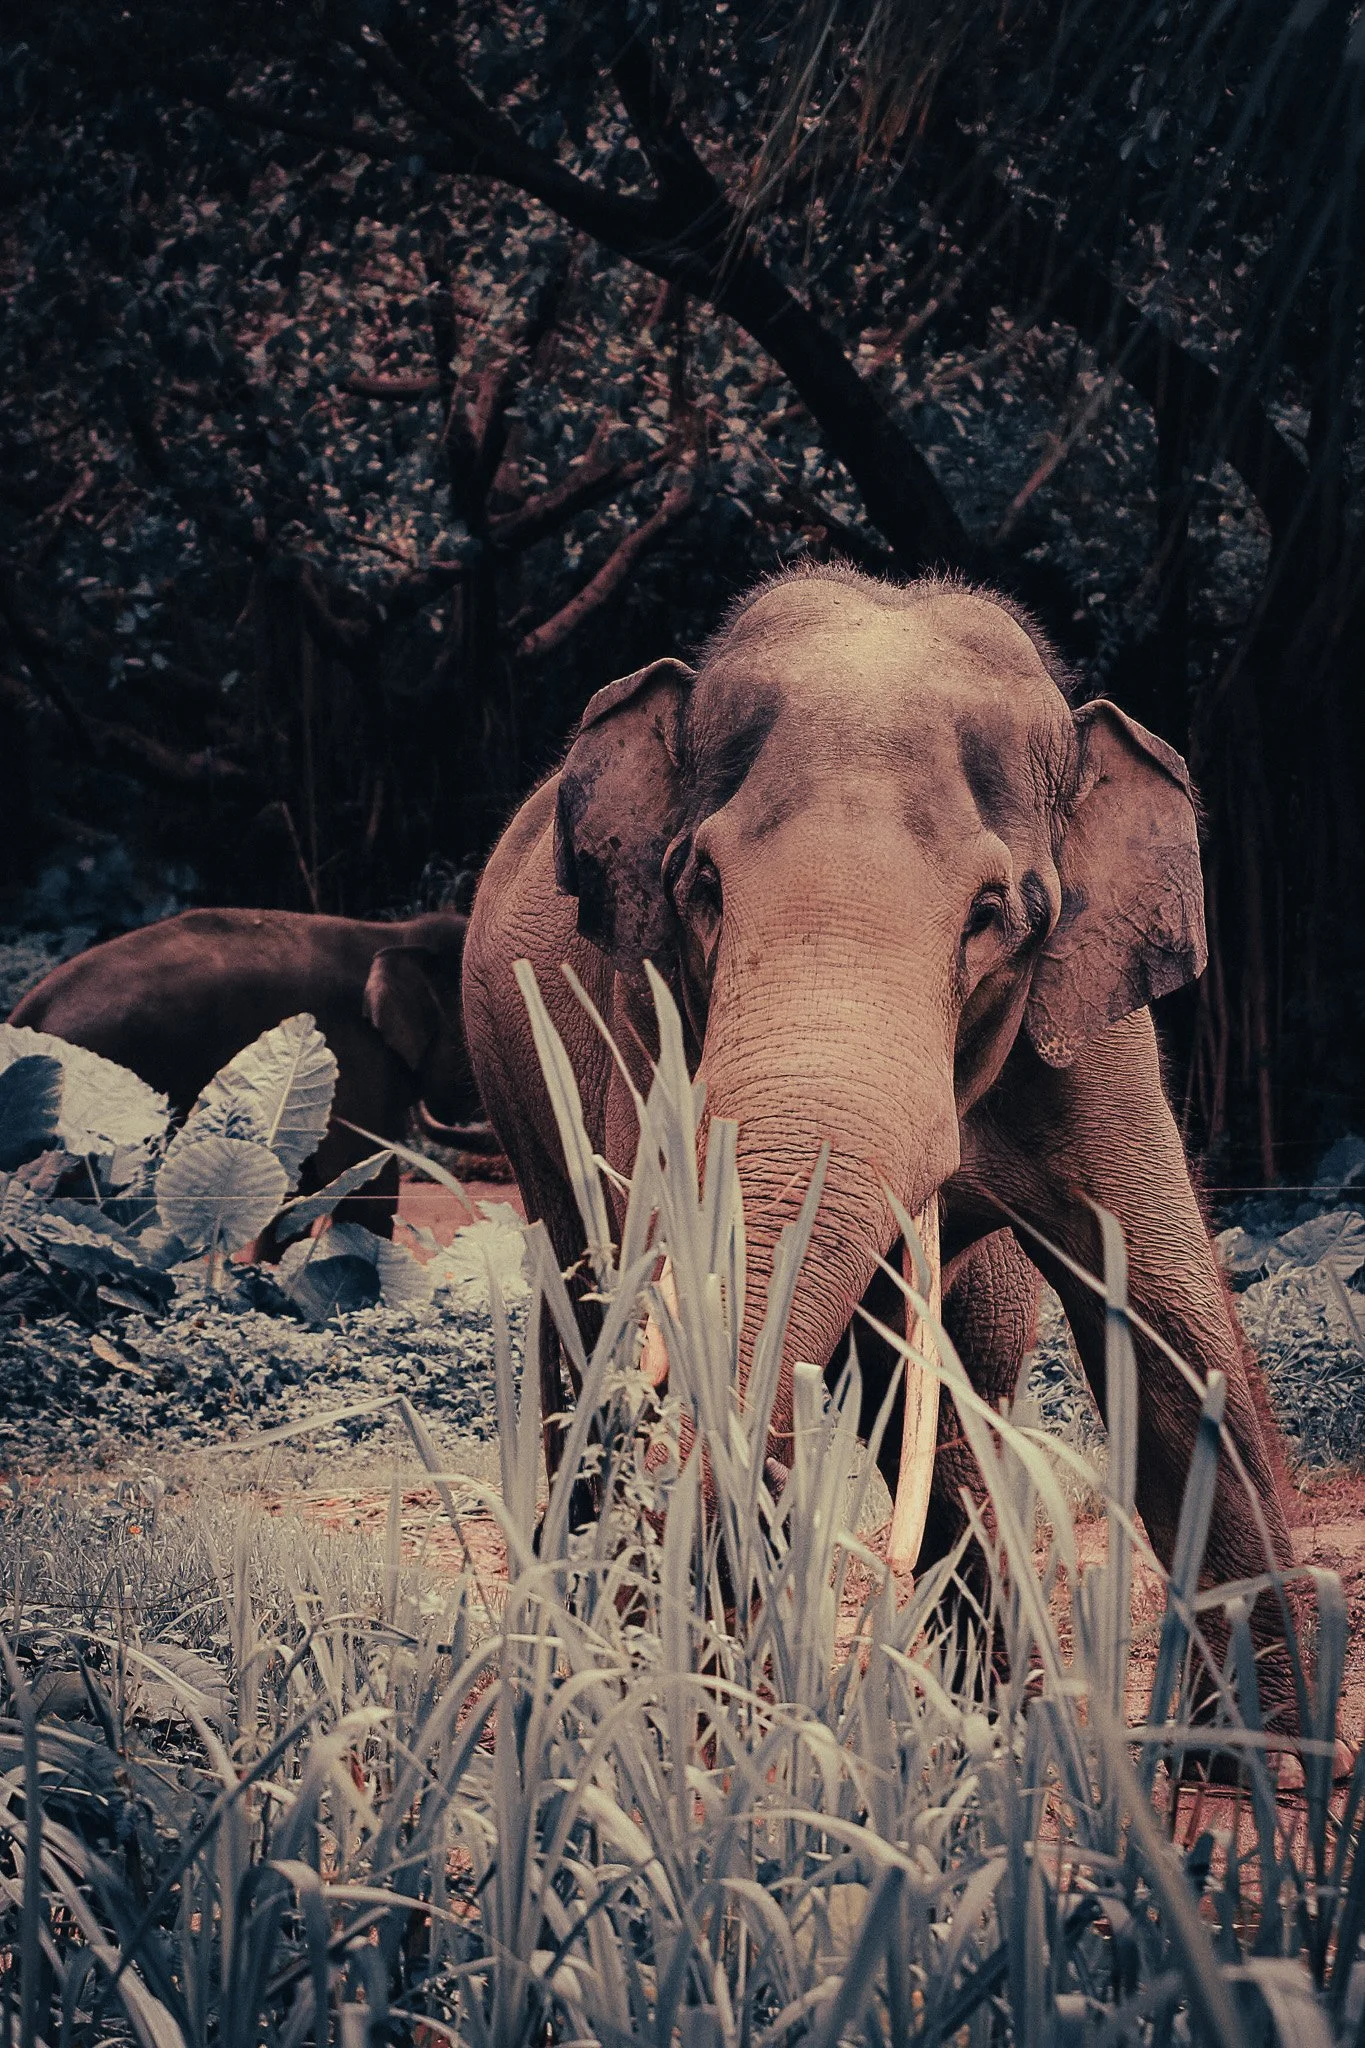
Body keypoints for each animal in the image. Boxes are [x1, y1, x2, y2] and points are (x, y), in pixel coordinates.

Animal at [463, 563, 1296, 1712]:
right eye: (701, 887)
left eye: (992, 912)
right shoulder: (635, 1022)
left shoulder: (1095, 1037)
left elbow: (1177, 1344)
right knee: (577, 1323)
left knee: (956, 1396)